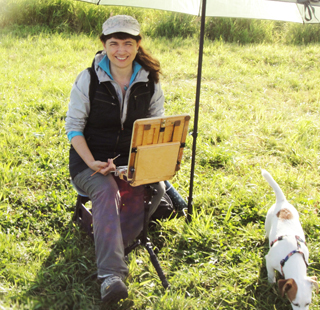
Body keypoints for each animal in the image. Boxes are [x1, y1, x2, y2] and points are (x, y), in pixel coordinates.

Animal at [262, 170, 318, 310]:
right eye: (295, 303)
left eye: (308, 303)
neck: (292, 257)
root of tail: (282, 202)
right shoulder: (269, 260)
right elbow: (271, 274)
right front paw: (271, 283)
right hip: (267, 222)